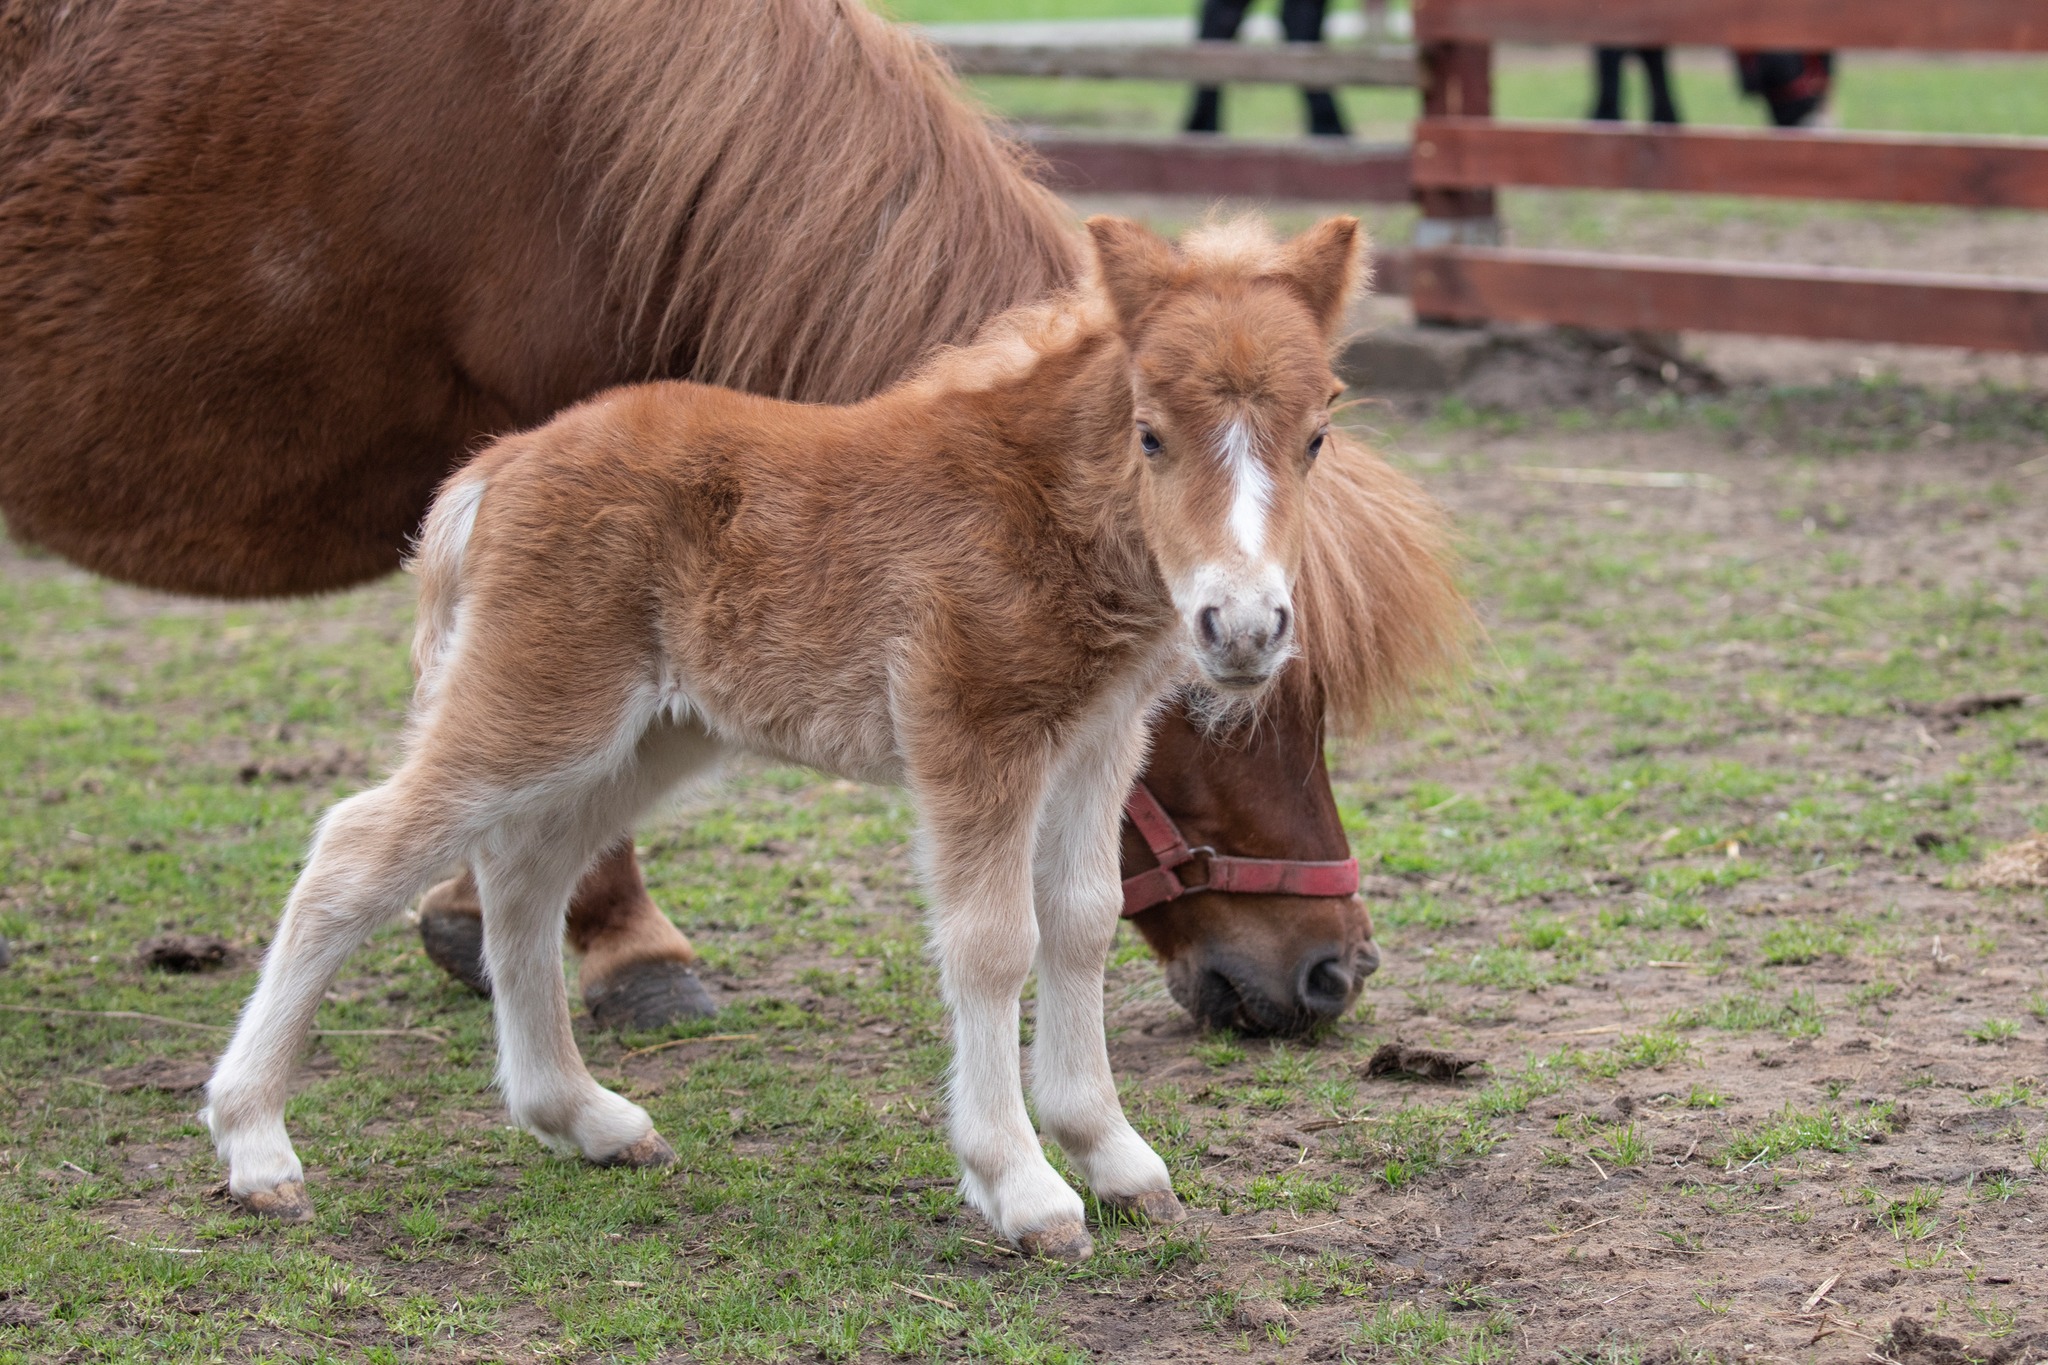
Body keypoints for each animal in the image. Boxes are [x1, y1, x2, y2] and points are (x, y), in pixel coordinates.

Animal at [203, 210, 1359, 1260]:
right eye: (1150, 432)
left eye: (1315, 436)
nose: (1243, 625)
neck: (1037, 502)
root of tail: (501, 466)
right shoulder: (971, 734)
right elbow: (993, 942)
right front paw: (1022, 1187)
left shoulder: (1095, 744)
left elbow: (1079, 922)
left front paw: (1114, 1159)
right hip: (540, 703)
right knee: (359, 849)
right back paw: (256, 1146)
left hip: (646, 735)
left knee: (526, 874)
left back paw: (584, 1117)